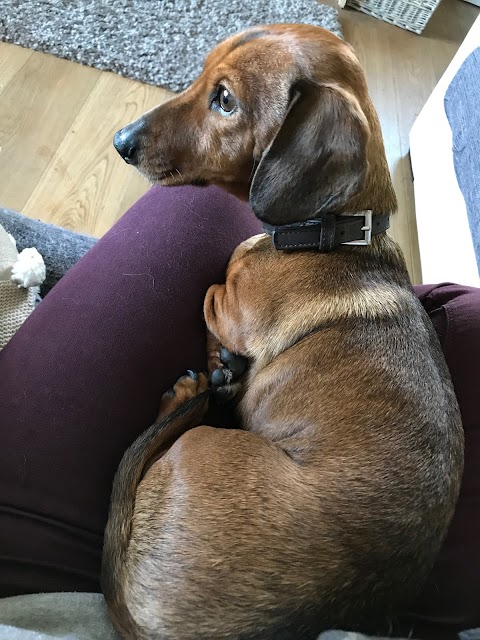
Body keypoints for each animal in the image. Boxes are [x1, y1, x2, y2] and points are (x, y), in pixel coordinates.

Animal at [102, 23, 464, 640]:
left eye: (225, 100)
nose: (120, 141)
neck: (332, 232)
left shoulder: (226, 301)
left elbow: (211, 290)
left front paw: (223, 364)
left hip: (199, 446)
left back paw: (190, 393)